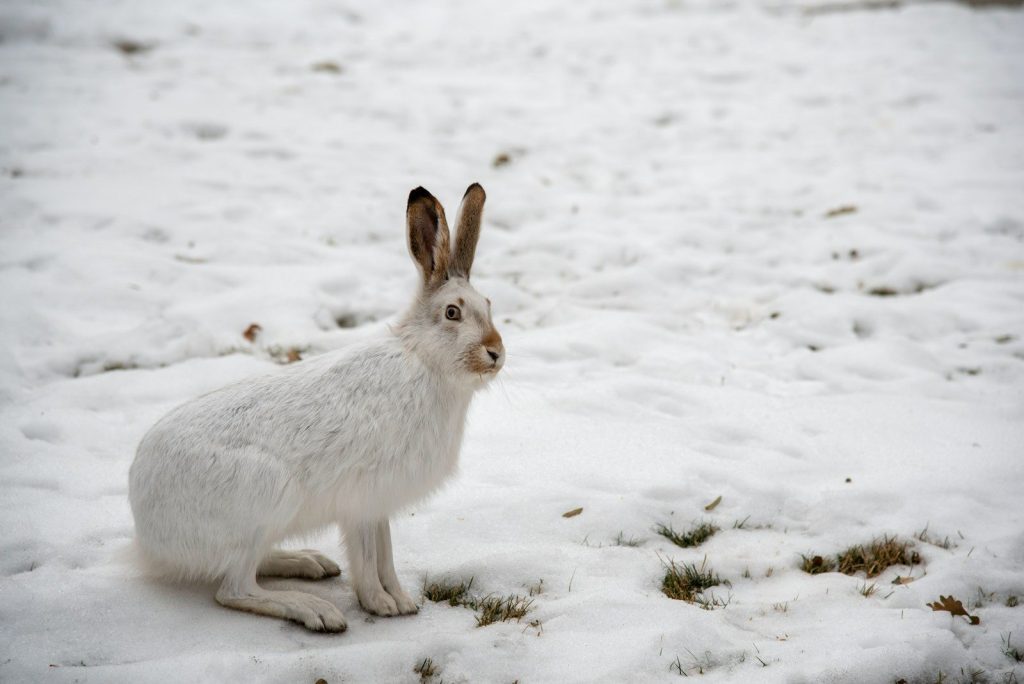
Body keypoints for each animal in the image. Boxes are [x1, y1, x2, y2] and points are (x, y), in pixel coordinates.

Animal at [128, 183, 503, 632]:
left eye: (489, 305)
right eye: (452, 313)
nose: (496, 352)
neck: (424, 360)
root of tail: (146, 528)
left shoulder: (379, 504)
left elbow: (386, 553)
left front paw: (400, 600)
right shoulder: (361, 499)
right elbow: (369, 555)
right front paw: (381, 604)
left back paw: (309, 563)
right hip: (266, 496)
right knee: (234, 588)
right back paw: (315, 610)